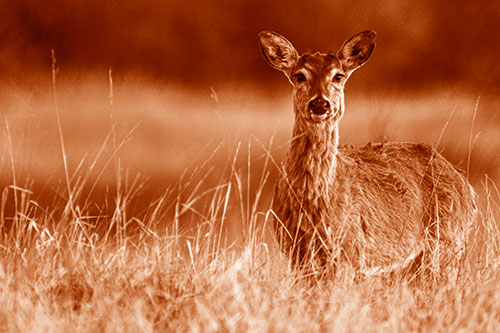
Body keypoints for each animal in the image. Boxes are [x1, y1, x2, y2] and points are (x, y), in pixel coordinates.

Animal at [258, 29, 476, 278]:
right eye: (300, 76)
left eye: (338, 76)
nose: (320, 104)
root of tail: (467, 186)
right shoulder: (295, 253)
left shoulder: (350, 253)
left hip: (447, 243)